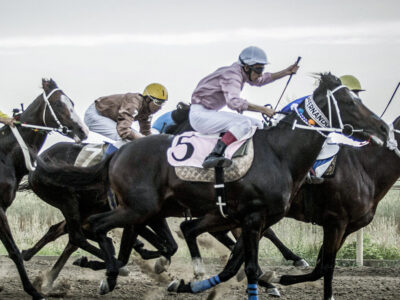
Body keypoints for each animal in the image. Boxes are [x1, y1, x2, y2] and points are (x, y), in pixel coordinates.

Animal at [0, 78, 87, 298]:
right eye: (58, 104)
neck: (5, 155)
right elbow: (14, 251)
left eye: (72, 102)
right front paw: (32, 290)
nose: (82, 131)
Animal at [32, 73, 390, 300]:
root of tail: (119, 152)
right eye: (348, 102)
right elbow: (247, 266)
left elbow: (235, 263)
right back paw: (102, 273)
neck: (279, 153)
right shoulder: (254, 217)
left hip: (142, 210)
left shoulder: (252, 220)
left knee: (88, 232)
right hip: (136, 208)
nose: (384, 127)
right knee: (92, 228)